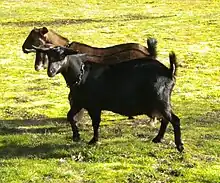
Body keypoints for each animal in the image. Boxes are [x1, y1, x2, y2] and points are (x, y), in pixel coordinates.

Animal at [33, 46, 184, 152]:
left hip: (161, 100)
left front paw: (94, 140)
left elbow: (95, 123)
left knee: (174, 120)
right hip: (160, 103)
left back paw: (179, 146)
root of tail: (169, 71)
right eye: (49, 56)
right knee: (166, 119)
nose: (50, 72)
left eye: (62, 56)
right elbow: (70, 116)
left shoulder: (94, 106)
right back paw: (158, 139)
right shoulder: (79, 103)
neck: (81, 75)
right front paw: (76, 136)